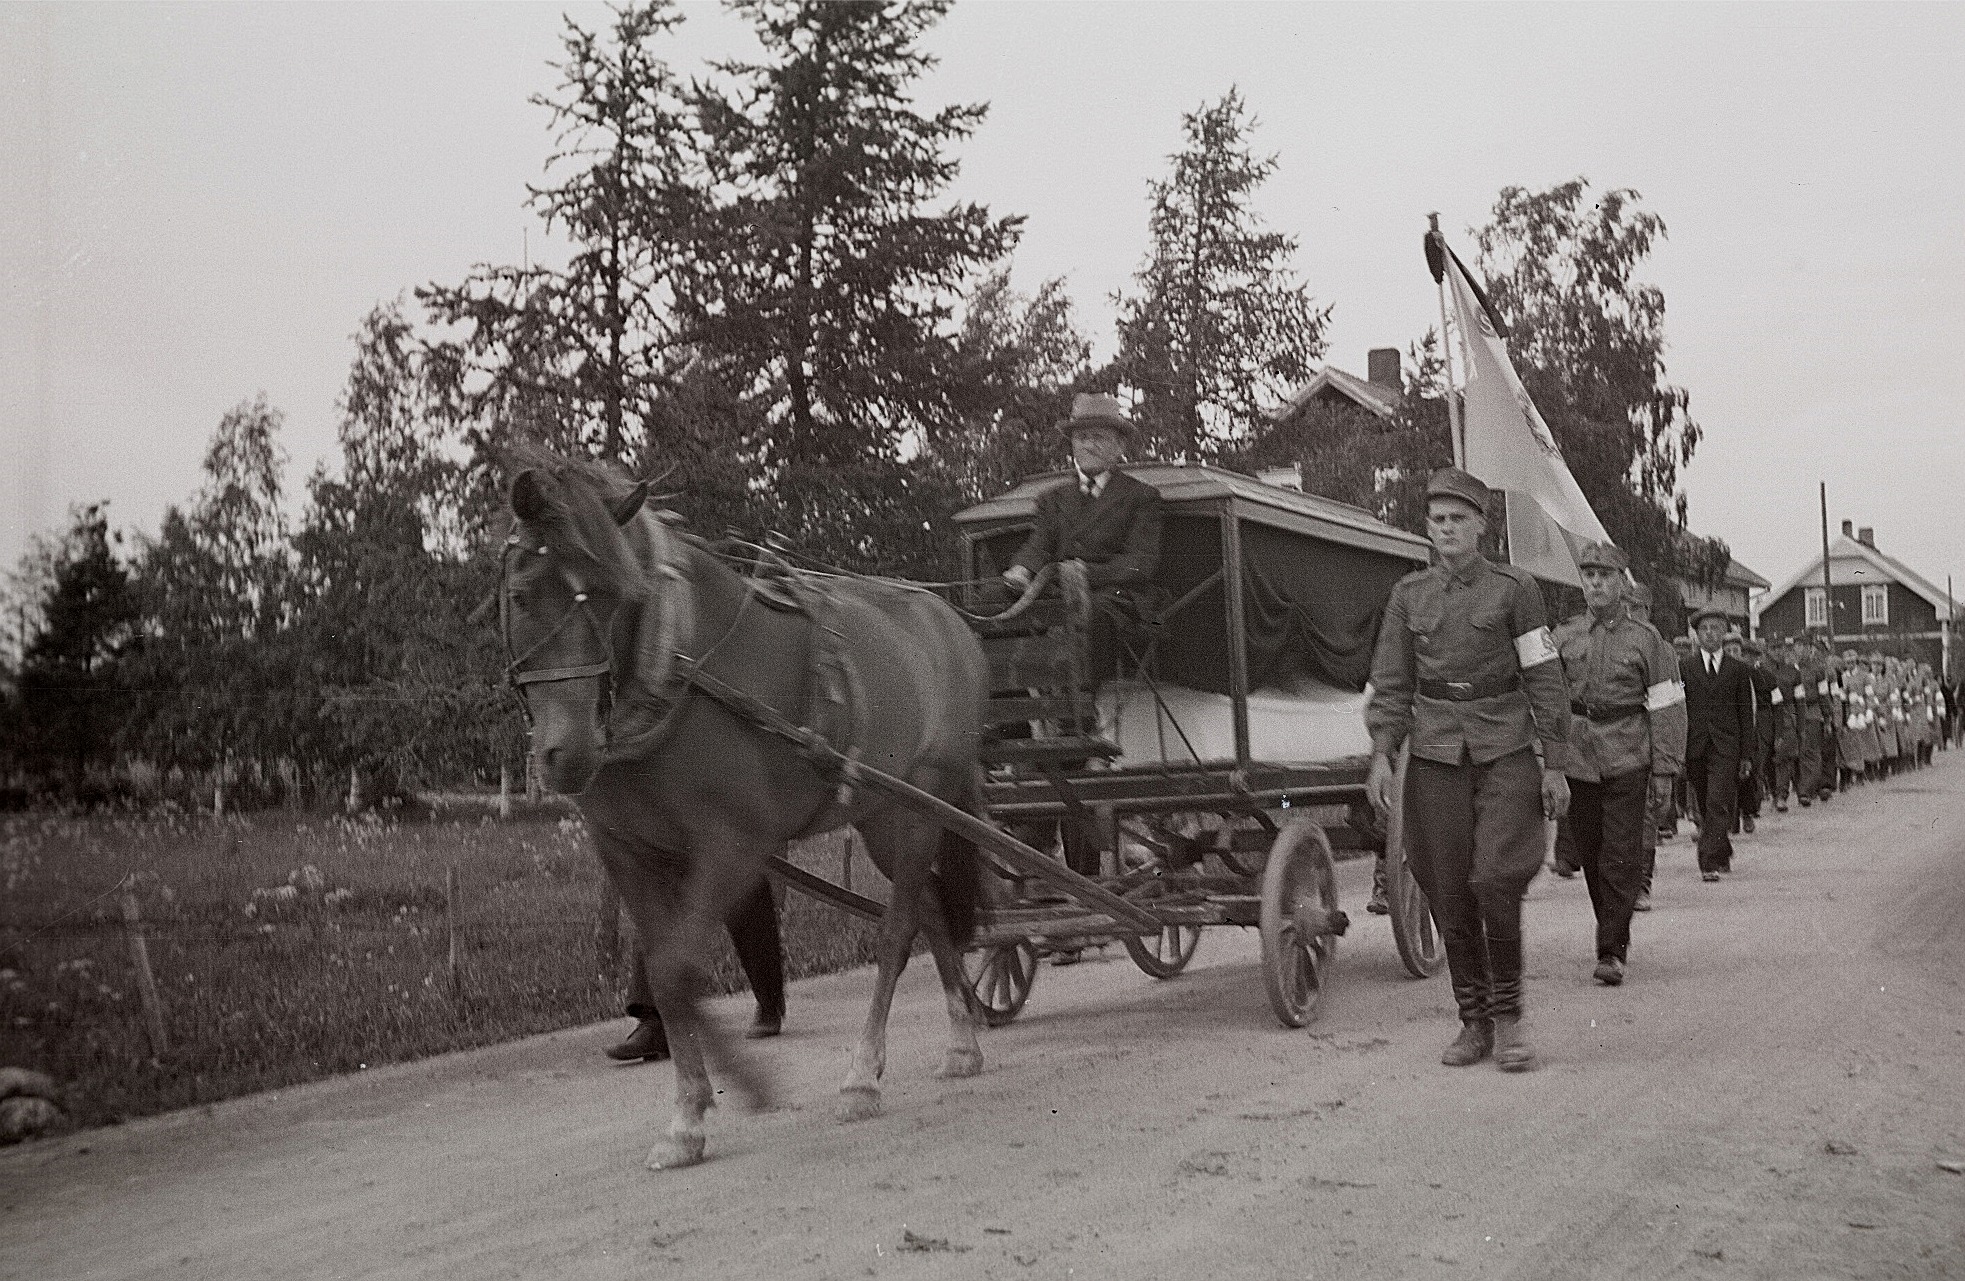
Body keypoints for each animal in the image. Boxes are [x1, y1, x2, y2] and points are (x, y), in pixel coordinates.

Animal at [499, 451, 990, 1170]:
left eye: (614, 591)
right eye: (520, 595)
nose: (567, 754)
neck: (673, 672)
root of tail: (947, 616)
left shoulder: (733, 844)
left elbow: (677, 965)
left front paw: (737, 1091)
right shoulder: (625, 849)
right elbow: (666, 972)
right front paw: (687, 1111)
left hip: (921, 805)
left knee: (898, 928)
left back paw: (862, 1076)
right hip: (882, 813)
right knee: (927, 905)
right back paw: (961, 1041)